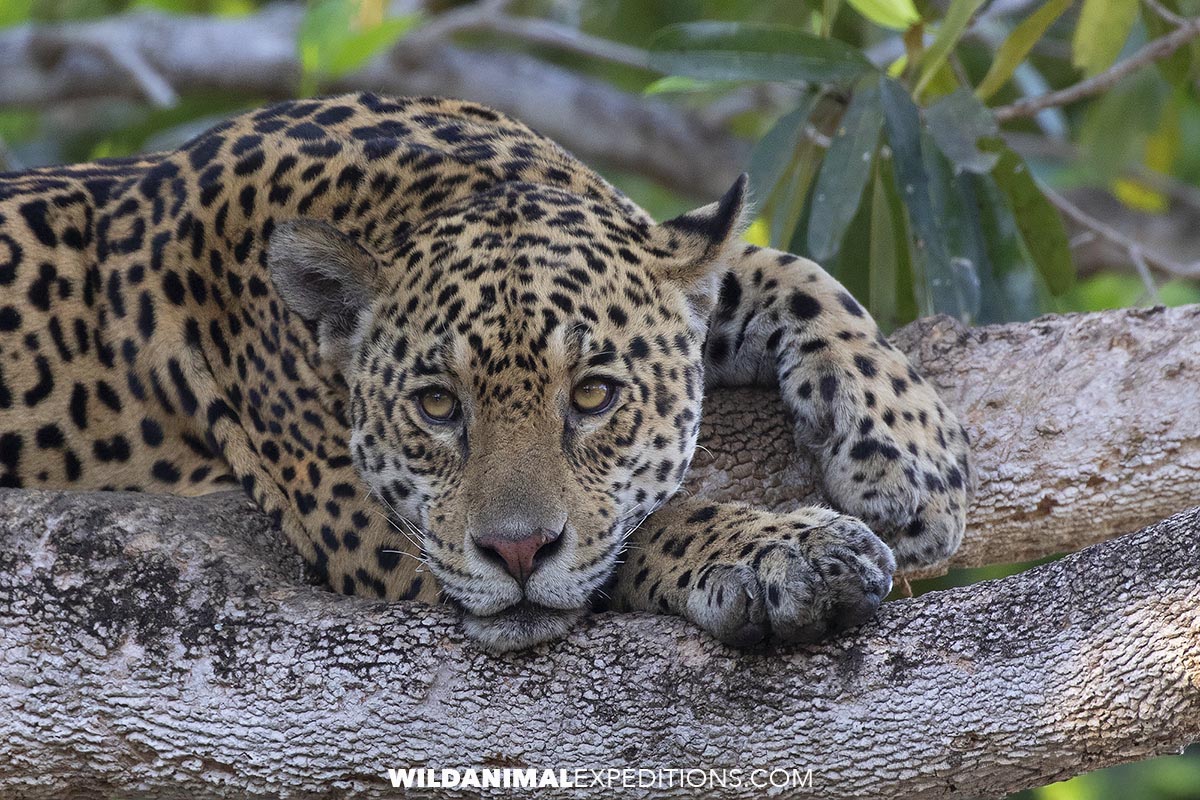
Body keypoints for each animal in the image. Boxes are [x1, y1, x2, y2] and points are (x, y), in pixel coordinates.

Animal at [0, 92, 972, 651]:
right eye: (436, 406)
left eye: (594, 395)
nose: (514, 553)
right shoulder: (384, 543)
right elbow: (637, 531)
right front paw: (782, 552)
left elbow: (784, 269)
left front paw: (912, 458)